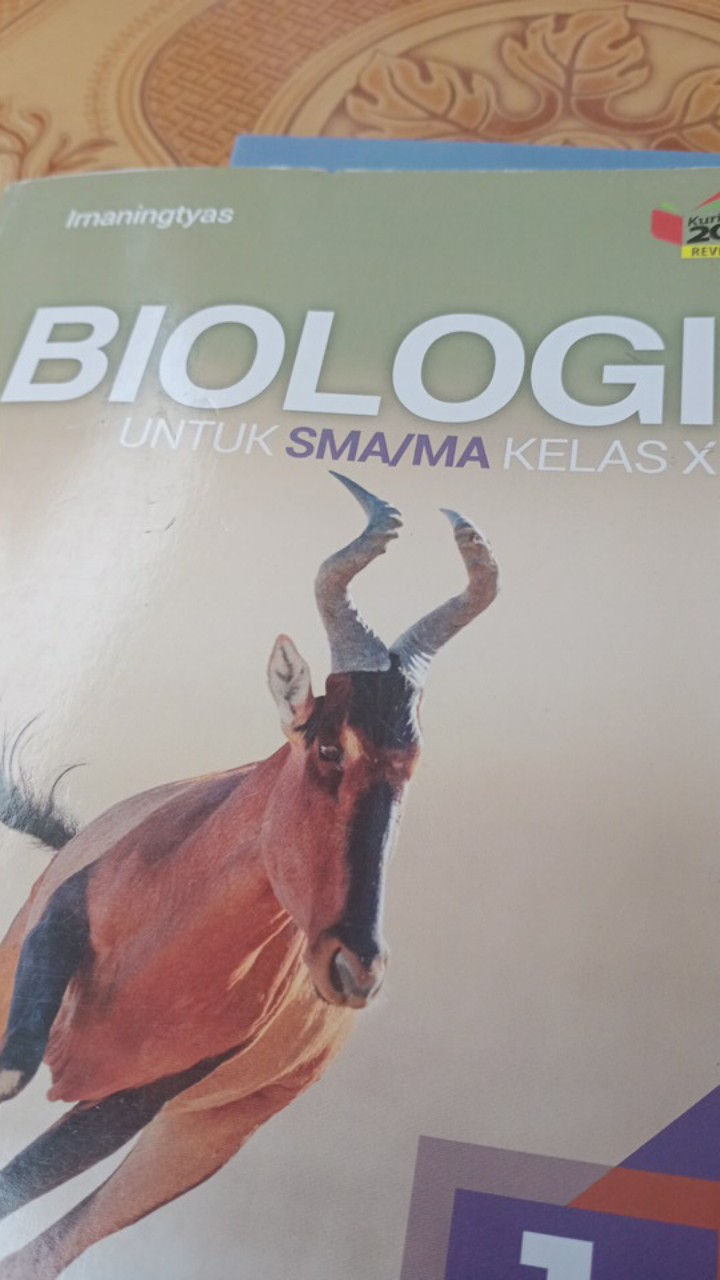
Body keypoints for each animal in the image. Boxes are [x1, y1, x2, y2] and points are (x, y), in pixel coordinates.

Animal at [0, 472, 498, 1279]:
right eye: (327, 744)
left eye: (411, 761)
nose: (356, 966)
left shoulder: (130, 1107)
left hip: (190, 1145)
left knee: (44, 1249)